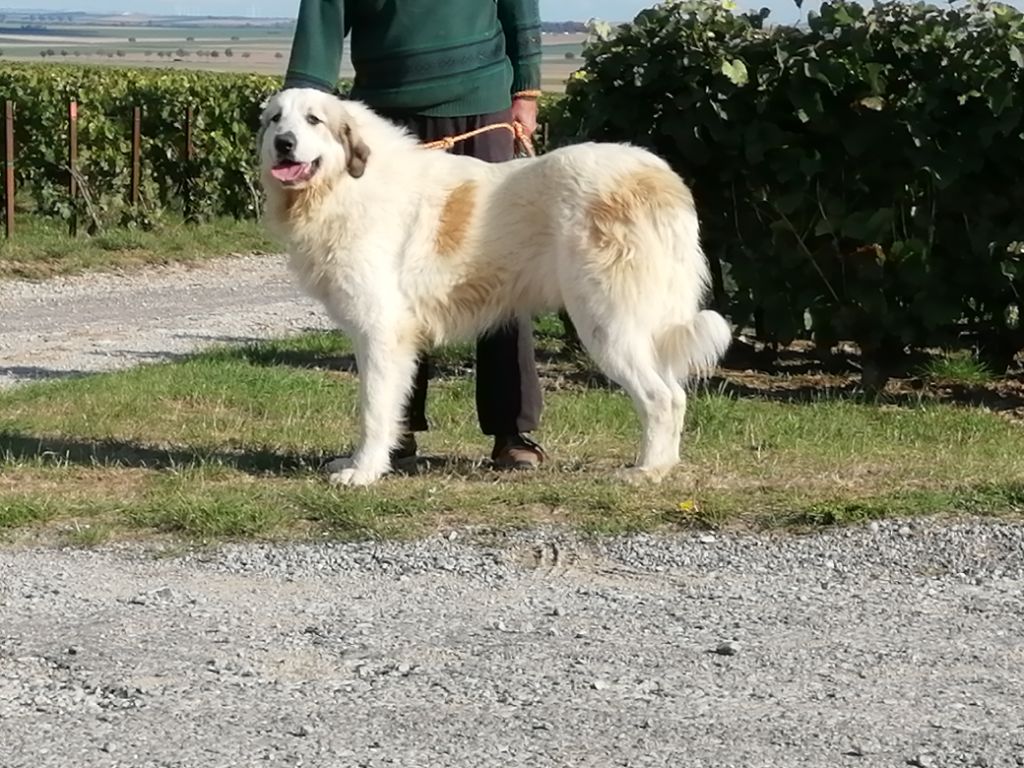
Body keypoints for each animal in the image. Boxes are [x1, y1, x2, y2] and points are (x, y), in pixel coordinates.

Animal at [260, 88, 733, 487]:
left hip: (608, 324)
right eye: (275, 119)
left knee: (661, 397)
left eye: (314, 120)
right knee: (675, 393)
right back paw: (664, 464)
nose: (283, 143)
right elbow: (390, 406)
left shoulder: (382, 332)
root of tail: (661, 179)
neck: (342, 185)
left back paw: (647, 471)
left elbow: (373, 408)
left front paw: (363, 472)